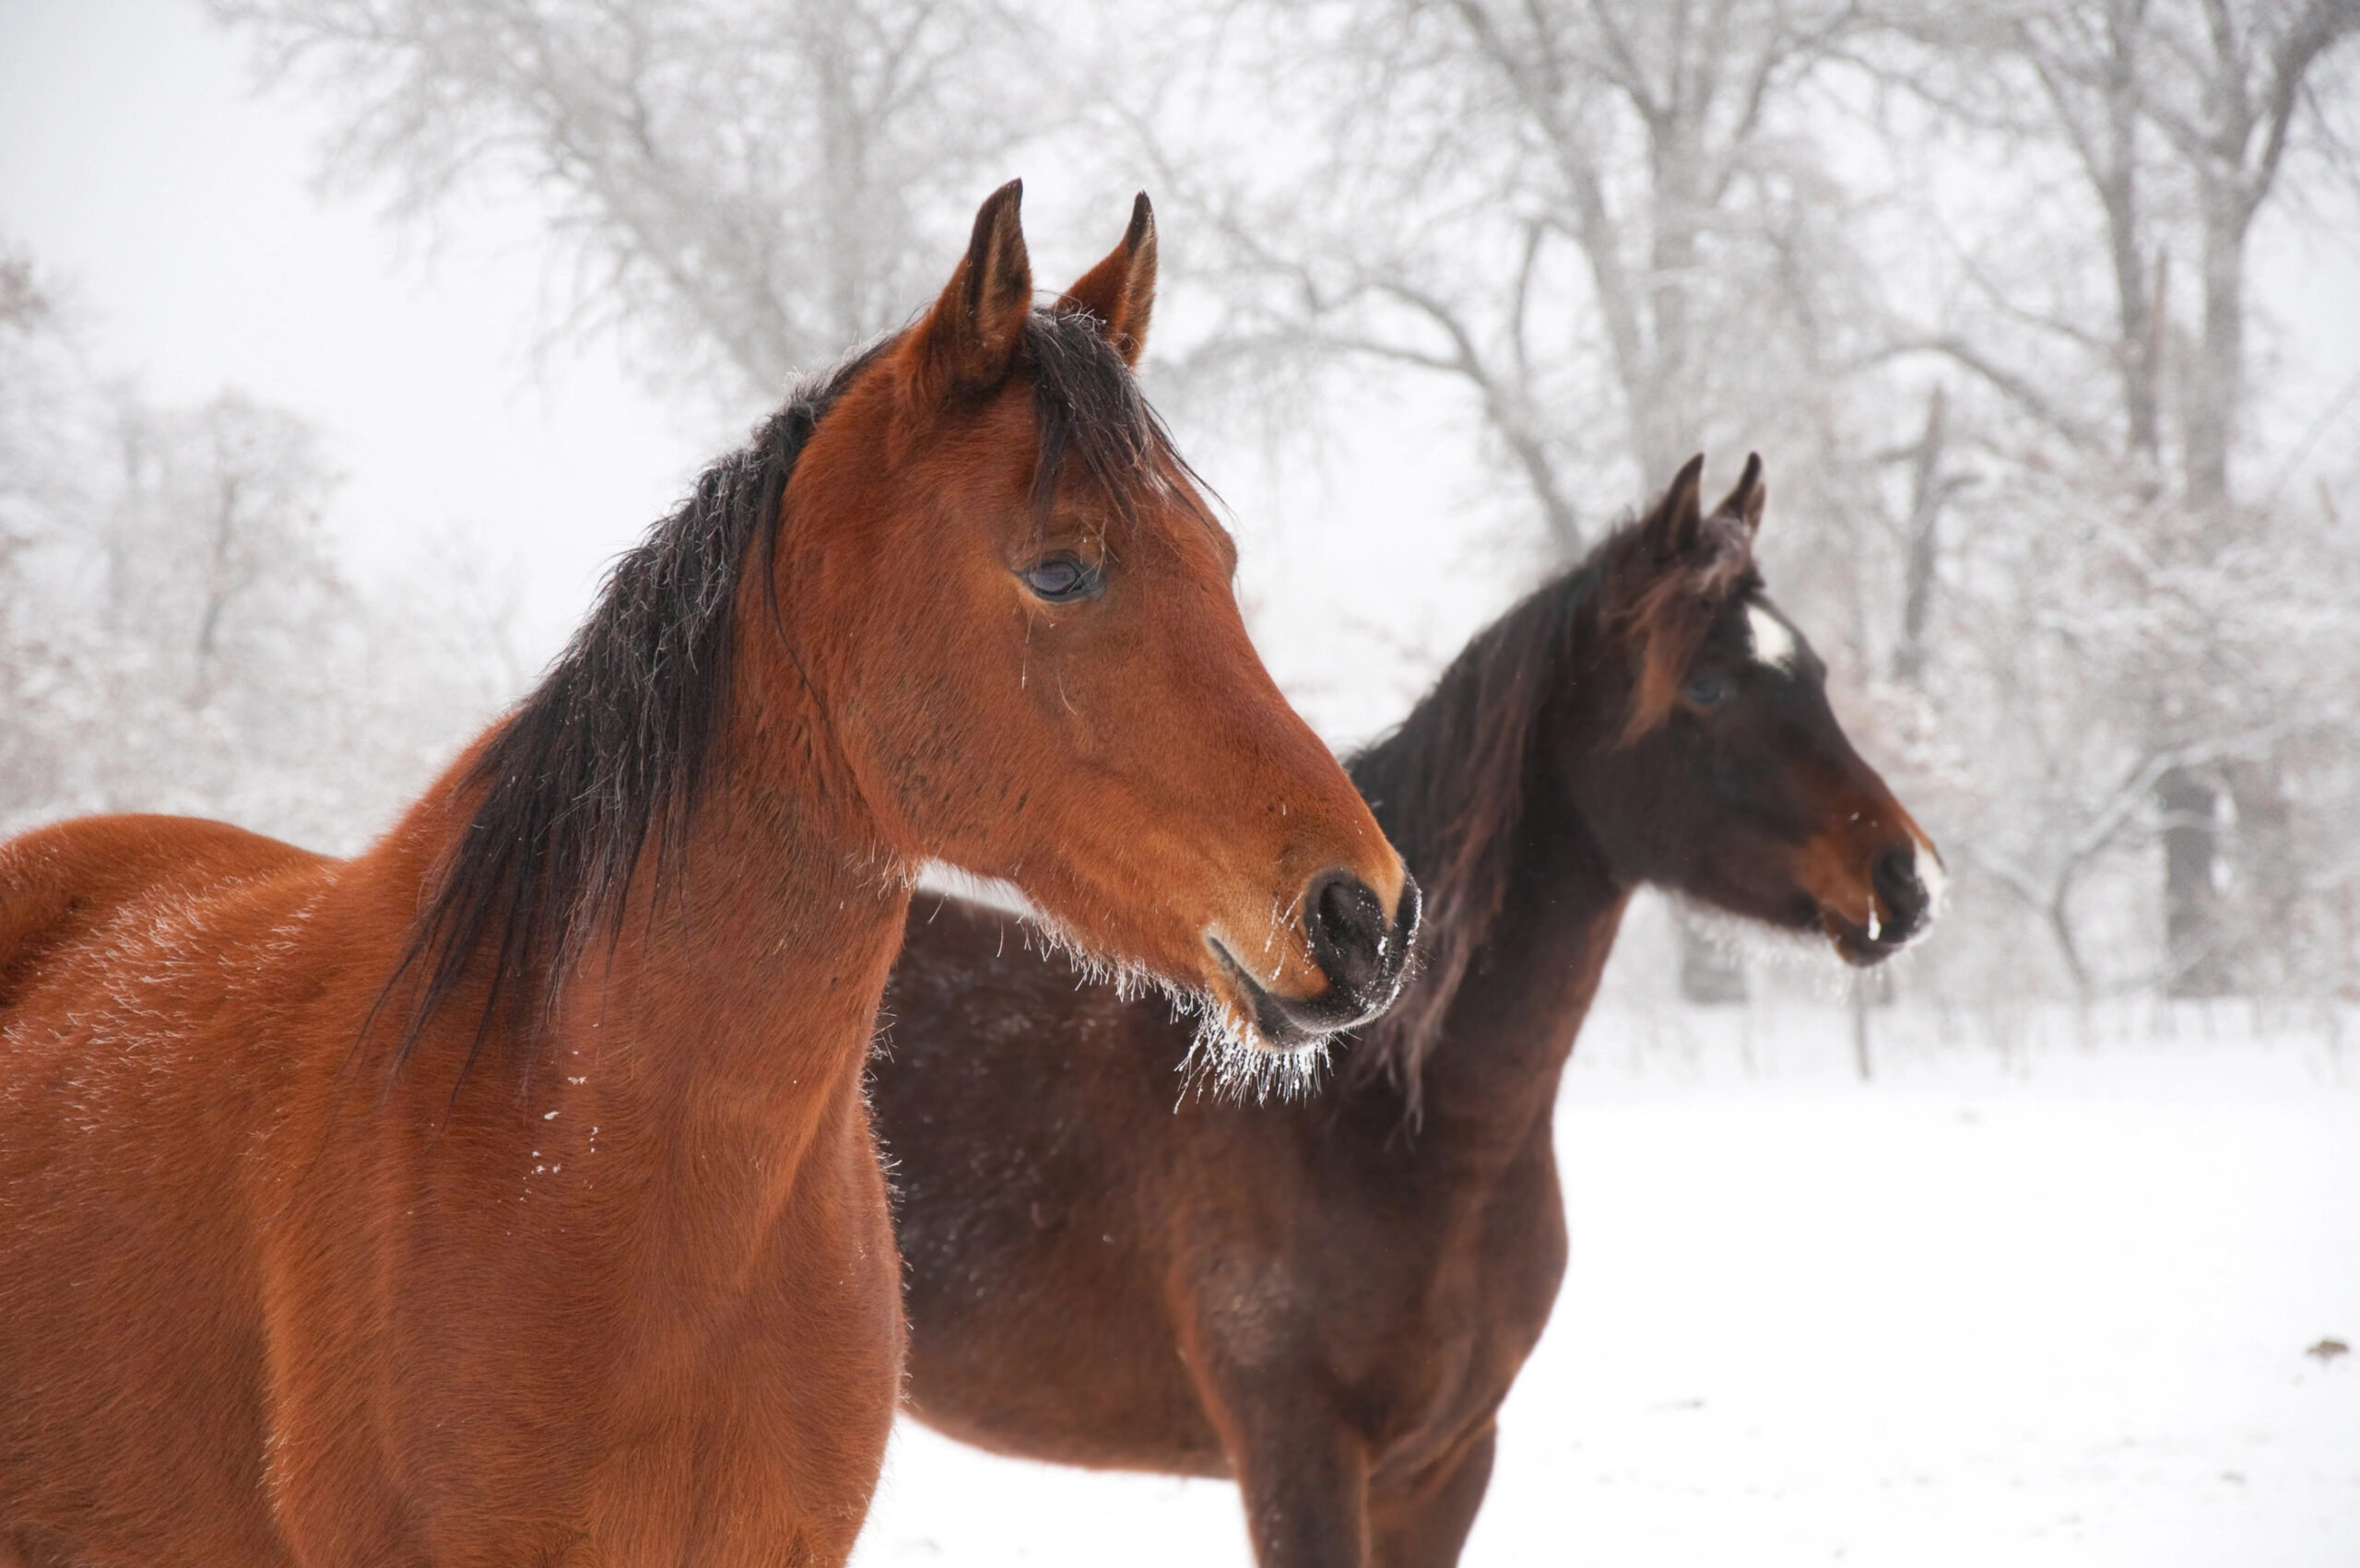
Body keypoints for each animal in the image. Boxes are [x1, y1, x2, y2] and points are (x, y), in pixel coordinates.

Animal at [872, 454, 1941, 1567]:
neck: (1388, 1123)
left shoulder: (1445, 1465)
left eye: (1816, 675)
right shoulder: (1297, 1454)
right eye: (1711, 686)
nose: (1906, 880)